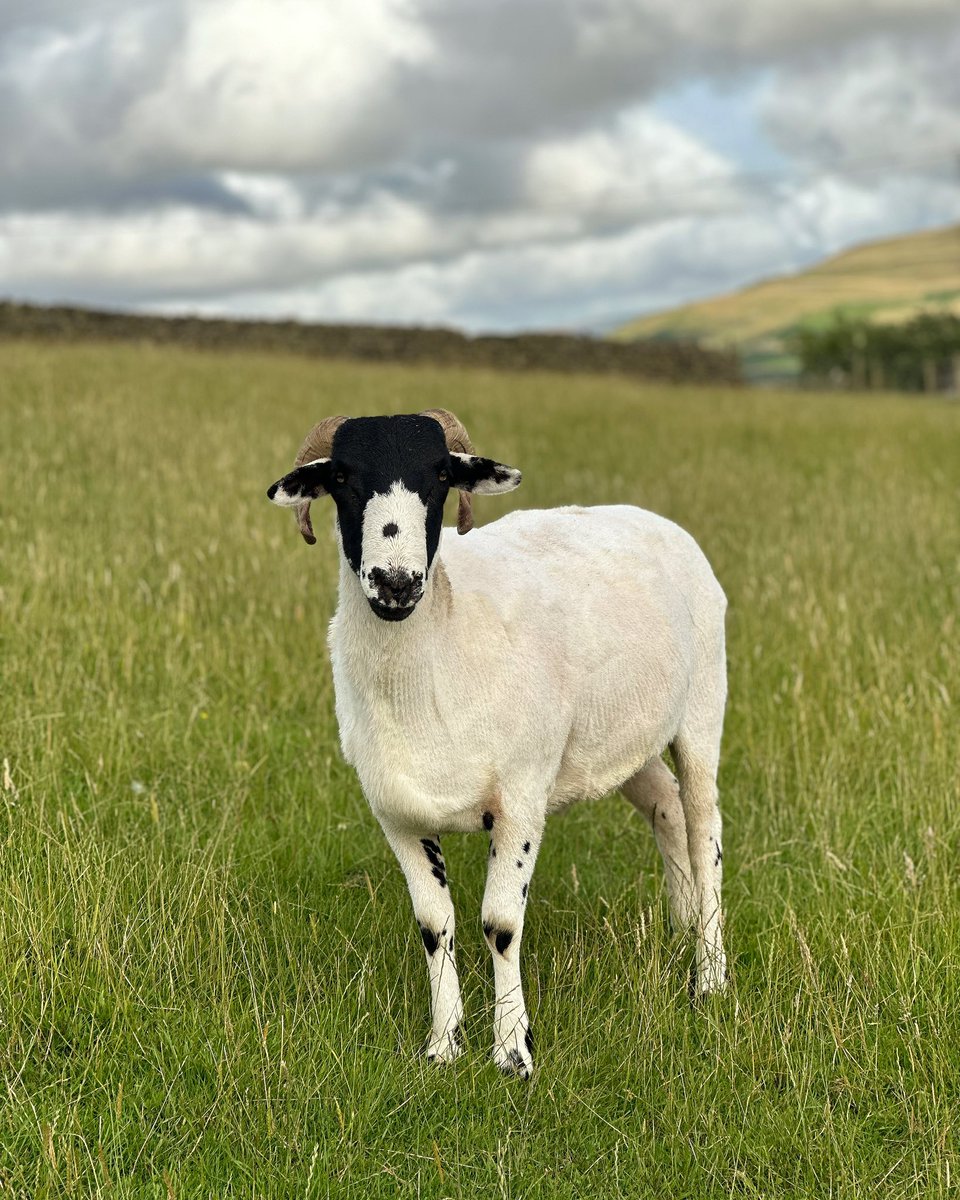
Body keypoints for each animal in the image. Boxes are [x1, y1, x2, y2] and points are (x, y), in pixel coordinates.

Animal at [267, 409, 728, 1079]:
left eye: (440, 475)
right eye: (343, 478)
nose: (396, 583)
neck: (443, 646)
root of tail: (656, 519)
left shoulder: (521, 798)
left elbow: (500, 924)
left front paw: (512, 1050)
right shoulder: (397, 814)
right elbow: (434, 925)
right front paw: (443, 1045)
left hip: (700, 712)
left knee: (704, 829)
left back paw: (709, 976)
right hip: (621, 740)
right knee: (666, 807)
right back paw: (679, 931)